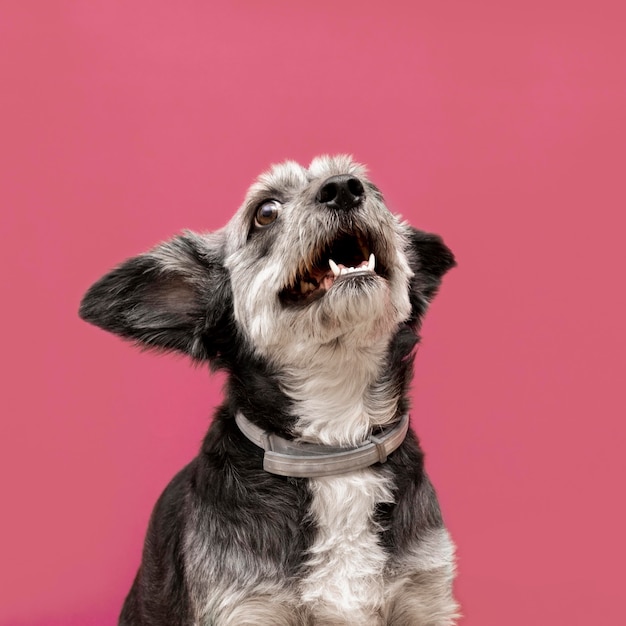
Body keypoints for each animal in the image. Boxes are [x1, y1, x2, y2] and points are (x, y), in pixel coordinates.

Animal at [80, 154, 456, 620]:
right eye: (265, 212)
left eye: (375, 191)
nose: (343, 188)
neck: (334, 449)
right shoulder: (247, 606)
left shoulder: (423, 598)